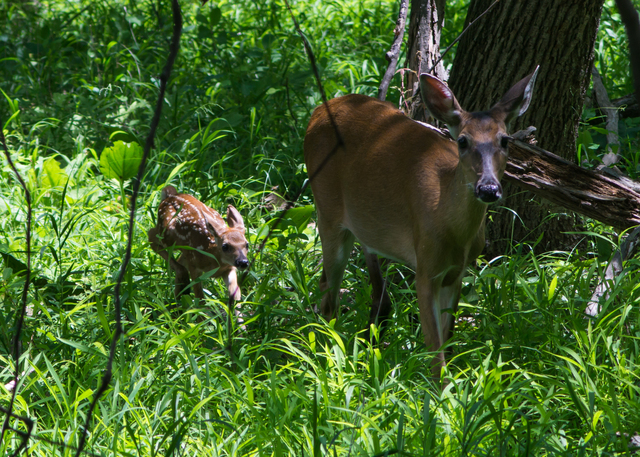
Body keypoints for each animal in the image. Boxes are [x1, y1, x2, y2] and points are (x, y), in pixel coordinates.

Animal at [148, 186, 249, 319]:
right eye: (225, 246)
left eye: (247, 244)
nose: (243, 262)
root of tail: (170, 195)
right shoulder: (194, 265)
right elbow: (200, 300)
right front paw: (201, 321)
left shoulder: (229, 269)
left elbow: (236, 294)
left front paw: (240, 322)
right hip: (166, 233)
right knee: (151, 235)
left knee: (179, 260)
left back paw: (179, 298)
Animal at [304, 67, 538, 375]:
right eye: (463, 141)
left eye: (505, 140)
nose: (488, 188)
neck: (453, 229)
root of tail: (318, 110)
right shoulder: (426, 266)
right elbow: (436, 352)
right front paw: (442, 387)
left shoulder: (457, 272)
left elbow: (447, 341)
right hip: (327, 210)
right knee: (328, 293)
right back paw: (329, 357)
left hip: (366, 222)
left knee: (377, 291)